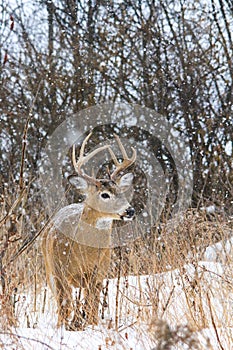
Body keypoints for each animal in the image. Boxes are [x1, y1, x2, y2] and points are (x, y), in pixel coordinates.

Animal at [41, 132, 137, 330]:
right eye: (105, 194)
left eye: (121, 191)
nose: (130, 211)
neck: (84, 251)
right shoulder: (59, 271)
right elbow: (65, 304)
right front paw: (64, 328)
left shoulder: (98, 273)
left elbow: (91, 304)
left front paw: (90, 326)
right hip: (48, 268)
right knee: (62, 302)